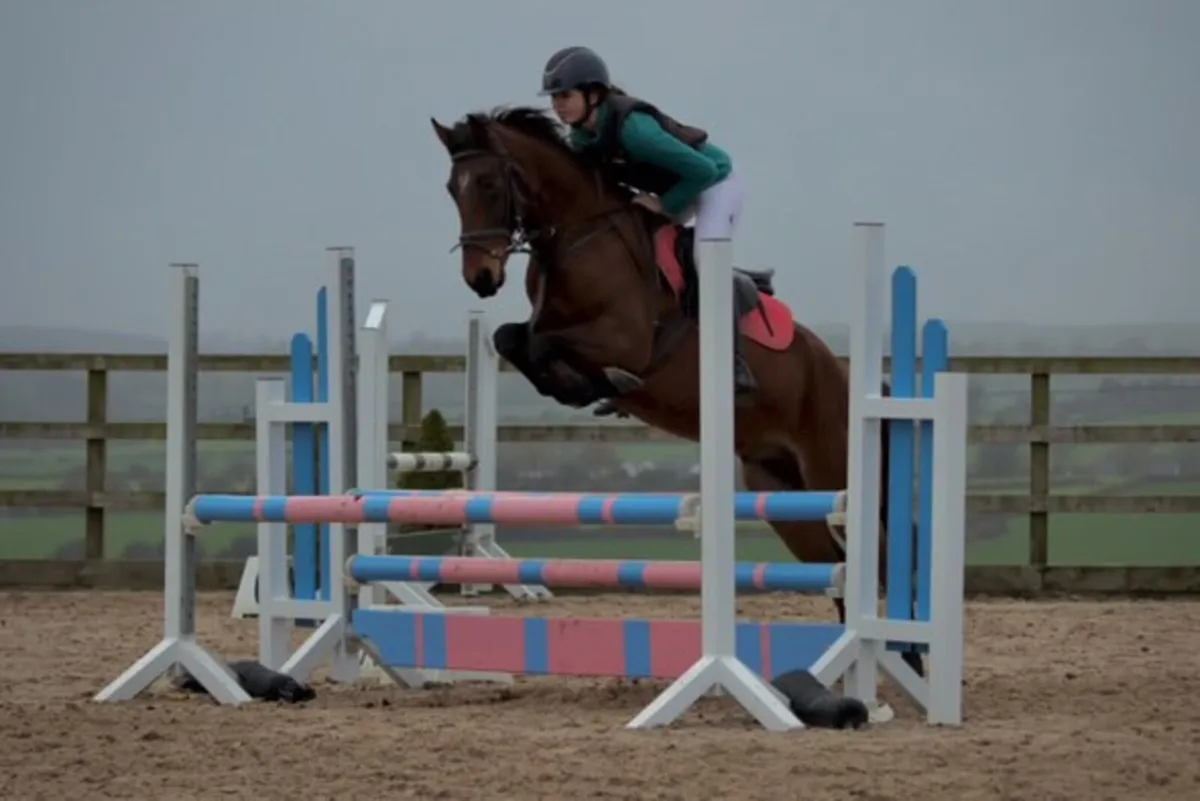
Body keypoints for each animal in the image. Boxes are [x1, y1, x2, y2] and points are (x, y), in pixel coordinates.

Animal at [430, 106, 922, 677]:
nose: (481, 277)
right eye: (452, 188)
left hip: (833, 468)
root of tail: (843, 374)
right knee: (837, 567)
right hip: (780, 492)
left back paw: (910, 655)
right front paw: (582, 389)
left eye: (489, 183)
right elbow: (513, 338)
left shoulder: (626, 340)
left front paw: (602, 385)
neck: (579, 233)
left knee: (880, 555)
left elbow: (544, 343)